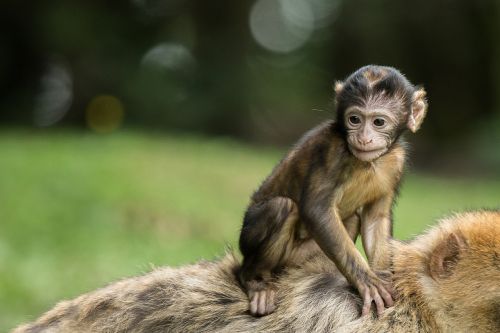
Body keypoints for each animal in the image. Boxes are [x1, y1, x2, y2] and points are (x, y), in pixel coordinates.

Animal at [237, 64, 426, 314]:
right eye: (354, 119)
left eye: (378, 122)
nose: (363, 138)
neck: (367, 162)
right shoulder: (331, 149)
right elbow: (317, 210)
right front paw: (367, 282)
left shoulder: (397, 161)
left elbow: (376, 217)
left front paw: (384, 277)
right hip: (250, 240)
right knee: (281, 206)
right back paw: (254, 280)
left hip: (299, 259)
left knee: (353, 218)